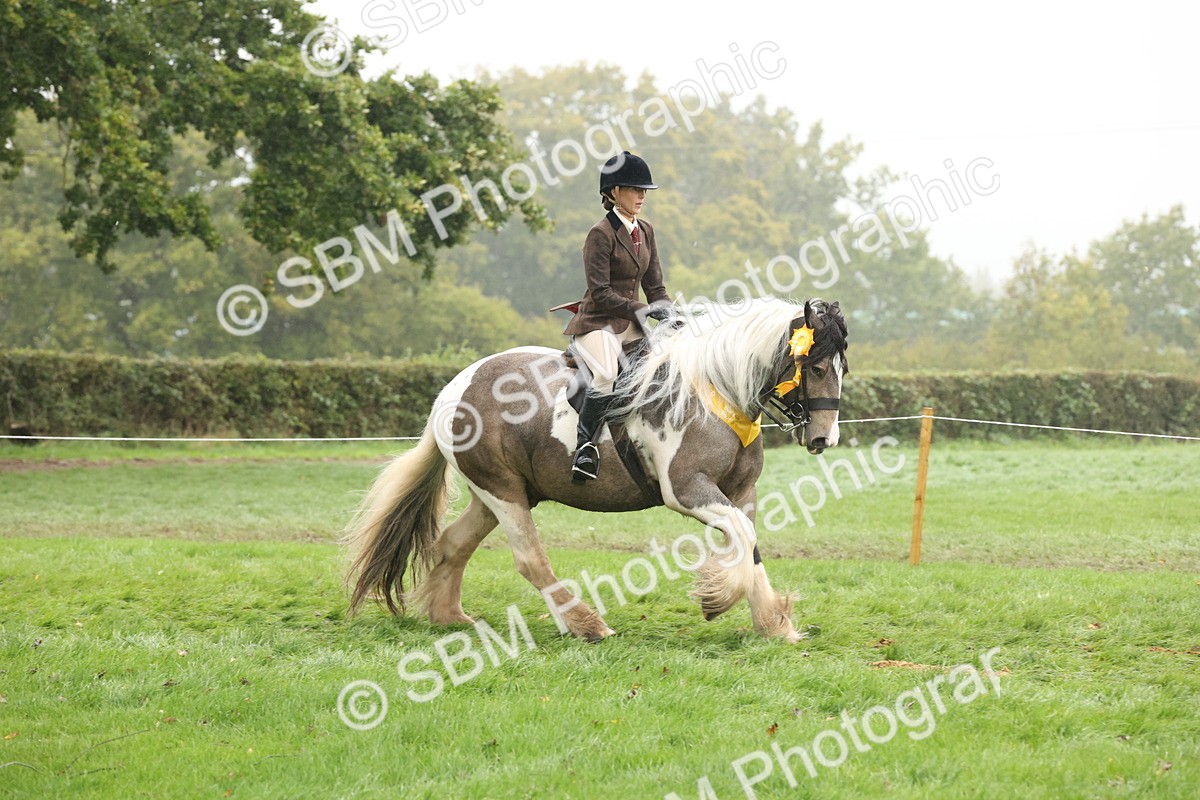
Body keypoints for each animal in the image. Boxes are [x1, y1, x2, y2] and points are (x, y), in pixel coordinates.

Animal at [345, 297, 849, 643]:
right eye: (816, 368)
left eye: (841, 367)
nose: (824, 439)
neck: (714, 387)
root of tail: (451, 391)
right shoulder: (687, 490)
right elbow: (742, 537)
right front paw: (719, 598)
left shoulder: (741, 491)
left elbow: (749, 543)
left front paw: (771, 623)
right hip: (503, 492)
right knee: (530, 560)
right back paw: (586, 624)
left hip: (500, 492)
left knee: (452, 543)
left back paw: (450, 617)